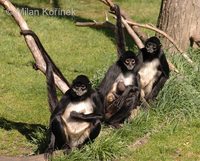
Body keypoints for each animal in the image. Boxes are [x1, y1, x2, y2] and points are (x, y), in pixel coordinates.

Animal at [20, 29, 103, 157]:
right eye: (76, 87)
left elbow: (101, 115)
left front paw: (77, 115)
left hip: (82, 138)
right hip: (65, 138)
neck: (80, 98)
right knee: (57, 119)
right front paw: (49, 148)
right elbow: (53, 118)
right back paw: (65, 146)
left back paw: (82, 146)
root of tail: (73, 143)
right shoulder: (67, 94)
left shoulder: (94, 94)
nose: (78, 91)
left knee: (96, 121)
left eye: (83, 87)